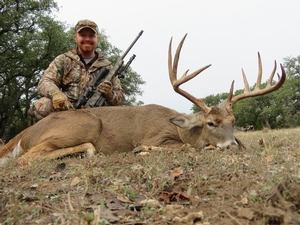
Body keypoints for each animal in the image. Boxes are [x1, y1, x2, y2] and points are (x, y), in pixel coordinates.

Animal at [0, 33, 286, 163]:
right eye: (210, 123)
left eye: (233, 122)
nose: (232, 146)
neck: (180, 130)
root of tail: (24, 133)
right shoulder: (156, 136)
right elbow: (185, 148)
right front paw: (143, 150)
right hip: (85, 124)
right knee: (27, 156)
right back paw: (86, 152)